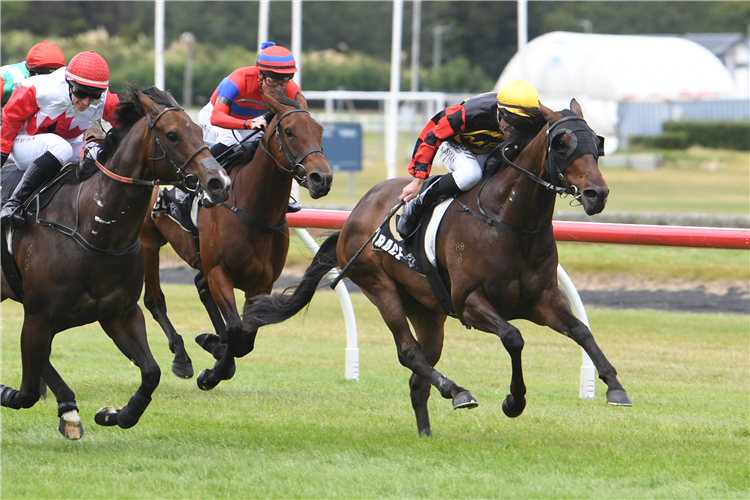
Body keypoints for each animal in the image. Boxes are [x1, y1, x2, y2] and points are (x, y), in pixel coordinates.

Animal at [0, 85, 232, 438]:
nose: (220, 183)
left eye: (198, 129)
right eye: (173, 135)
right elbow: (24, 392)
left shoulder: (119, 314)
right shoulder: (39, 316)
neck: (94, 230)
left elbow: (151, 373)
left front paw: (114, 414)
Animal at [140, 94, 334, 388]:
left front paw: (216, 354)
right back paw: (182, 357)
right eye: (289, 131)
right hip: (149, 242)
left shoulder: (262, 283)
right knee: (154, 299)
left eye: (320, 130)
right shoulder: (219, 272)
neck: (255, 209)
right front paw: (211, 373)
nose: (322, 178)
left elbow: (246, 338)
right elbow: (235, 330)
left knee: (200, 284)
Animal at [244, 100, 632, 434]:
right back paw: (456, 389)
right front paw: (514, 401)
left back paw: (427, 432)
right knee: (408, 352)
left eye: (596, 142)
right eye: (562, 143)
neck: (509, 220)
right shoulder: (470, 302)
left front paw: (615, 386)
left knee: (419, 374)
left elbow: (581, 331)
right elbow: (513, 336)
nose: (597, 194)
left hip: (427, 310)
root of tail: (355, 213)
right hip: (379, 286)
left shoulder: (543, 300)